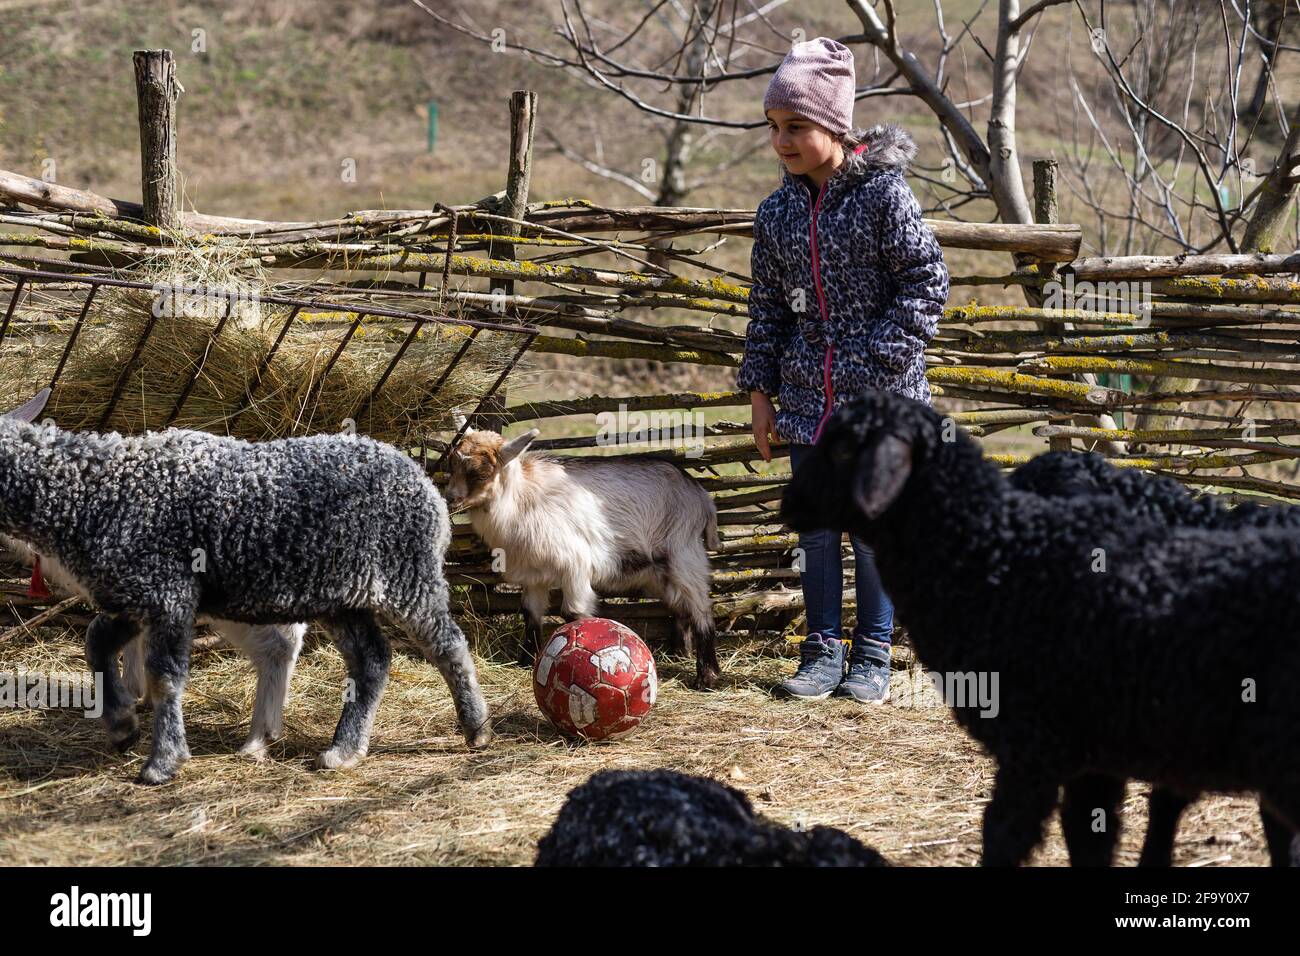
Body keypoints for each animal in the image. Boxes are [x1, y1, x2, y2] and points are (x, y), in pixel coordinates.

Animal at [0, 388, 490, 784]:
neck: (97, 492)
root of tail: (425, 482)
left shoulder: (169, 593)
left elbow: (164, 676)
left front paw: (163, 762)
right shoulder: (135, 594)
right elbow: (95, 643)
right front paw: (121, 725)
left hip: (407, 572)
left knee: (448, 643)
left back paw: (475, 728)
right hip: (342, 596)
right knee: (371, 659)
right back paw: (343, 751)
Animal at [444, 420, 722, 688]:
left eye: (481, 473)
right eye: (451, 465)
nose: (450, 499)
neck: (522, 500)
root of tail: (701, 496)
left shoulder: (575, 566)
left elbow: (573, 612)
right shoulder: (533, 575)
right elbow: (530, 613)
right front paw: (525, 660)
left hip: (683, 553)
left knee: (701, 607)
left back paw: (706, 676)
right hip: (657, 571)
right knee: (681, 605)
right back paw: (680, 651)